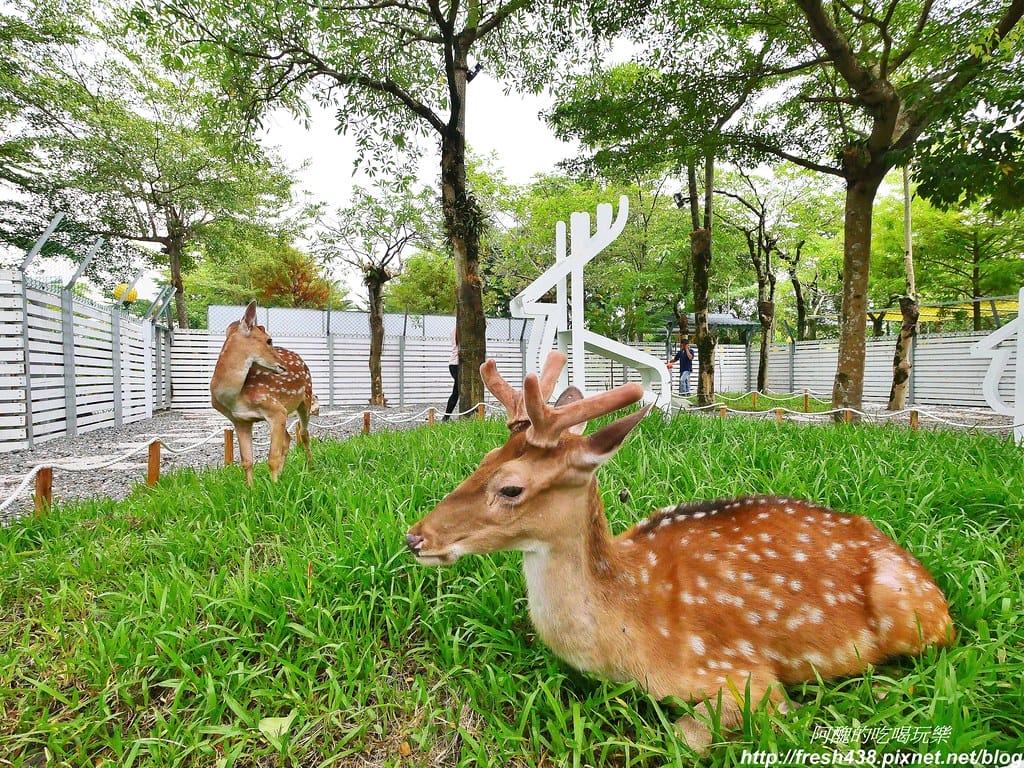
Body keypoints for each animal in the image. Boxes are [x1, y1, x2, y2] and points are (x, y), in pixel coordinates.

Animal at [210, 301, 319, 486]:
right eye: (269, 340)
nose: (283, 366)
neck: (235, 397)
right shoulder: (240, 420)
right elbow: (247, 461)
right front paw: (251, 489)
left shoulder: (275, 408)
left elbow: (272, 458)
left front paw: (274, 488)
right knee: (288, 438)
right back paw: (284, 474)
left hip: (306, 398)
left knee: (304, 433)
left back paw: (311, 469)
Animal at [405, 351, 954, 752]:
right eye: (483, 459)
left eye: (511, 488)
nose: (415, 537)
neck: (623, 633)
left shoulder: (740, 675)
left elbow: (685, 738)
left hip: (913, 612)